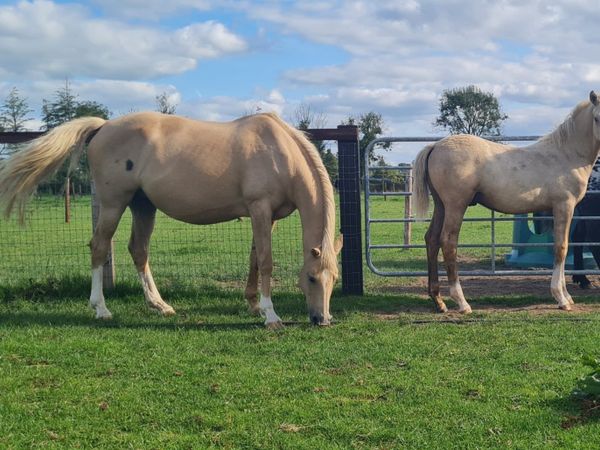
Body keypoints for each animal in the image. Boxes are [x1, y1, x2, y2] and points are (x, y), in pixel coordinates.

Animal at [0, 112, 342, 328]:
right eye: (312, 278)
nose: (322, 320)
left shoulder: (266, 217)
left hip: (143, 206)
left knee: (138, 250)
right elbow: (267, 261)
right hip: (114, 203)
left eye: (335, 279)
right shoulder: (260, 209)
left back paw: (160, 305)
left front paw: (254, 305)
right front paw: (270, 315)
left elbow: (255, 259)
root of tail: (103, 126)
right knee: (99, 246)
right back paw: (101, 309)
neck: (279, 152)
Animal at [413, 91, 600, 313]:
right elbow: (561, 248)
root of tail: (435, 145)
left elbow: (561, 246)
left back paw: (438, 300)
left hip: (441, 206)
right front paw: (561, 298)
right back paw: (462, 303)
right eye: (597, 118)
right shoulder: (564, 206)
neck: (567, 154)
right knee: (448, 242)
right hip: (455, 206)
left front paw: (567, 296)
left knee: (432, 239)